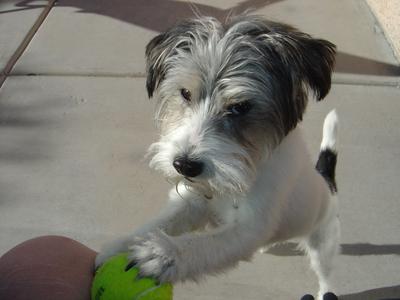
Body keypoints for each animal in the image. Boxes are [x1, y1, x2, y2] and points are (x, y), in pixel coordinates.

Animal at [95, 14, 340, 300]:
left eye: (240, 107)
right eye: (185, 93)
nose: (184, 165)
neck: (247, 166)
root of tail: (327, 183)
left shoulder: (248, 229)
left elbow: (204, 244)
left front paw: (163, 255)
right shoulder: (193, 202)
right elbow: (162, 222)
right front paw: (122, 245)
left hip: (323, 245)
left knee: (326, 276)